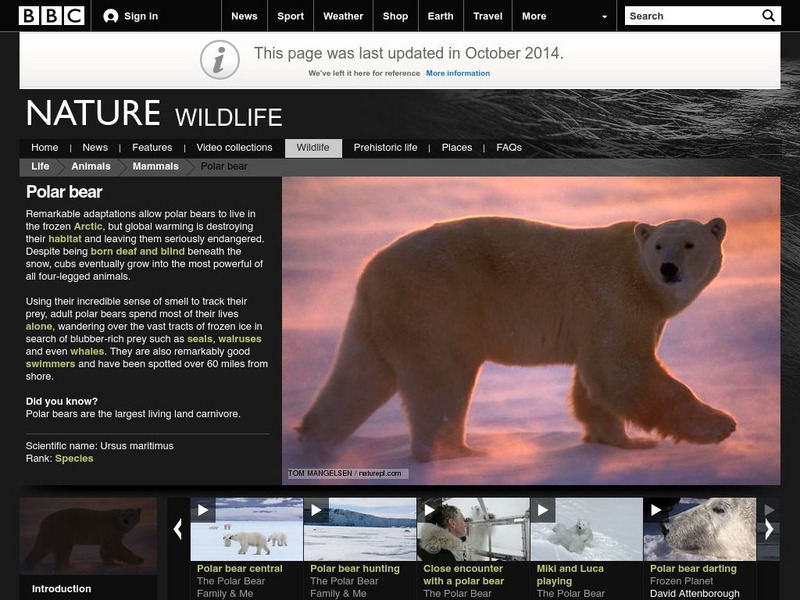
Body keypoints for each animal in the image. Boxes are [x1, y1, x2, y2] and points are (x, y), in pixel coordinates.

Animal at [296, 216, 736, 462]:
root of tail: (370, 270)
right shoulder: (616, 297)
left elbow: (596, 382)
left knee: (359, 377)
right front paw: (722, 424)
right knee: (441, 382)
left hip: (376, 320)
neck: (640, 275)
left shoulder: (612, 315)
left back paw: (313, 439)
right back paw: (458, 453)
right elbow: (623, 371)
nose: (668, 268)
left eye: (690, 243)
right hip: (436, 305)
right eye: (660, 244)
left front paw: (619, 442)